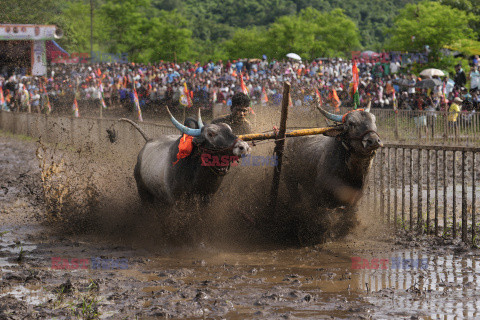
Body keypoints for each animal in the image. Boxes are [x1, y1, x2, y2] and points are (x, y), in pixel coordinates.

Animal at [121, 108, 251, 205]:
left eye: (230, 129)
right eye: (210, 134)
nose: (243, 146)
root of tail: (149, 140)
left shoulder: (207, 199)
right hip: (144, 193)